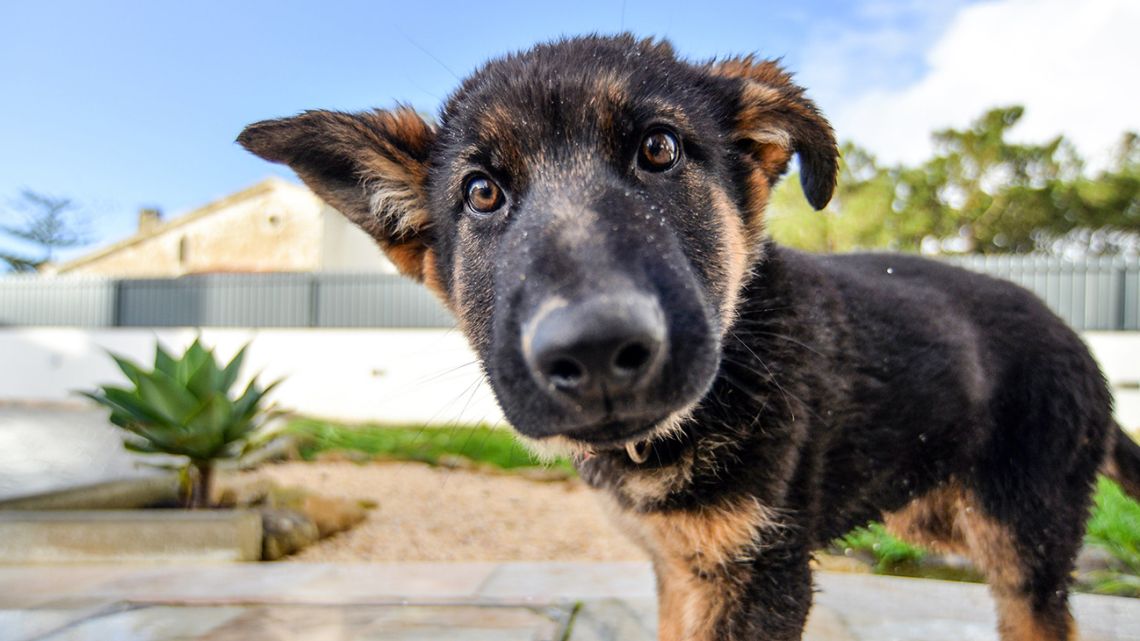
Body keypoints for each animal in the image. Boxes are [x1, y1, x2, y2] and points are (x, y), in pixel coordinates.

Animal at [240, 33, 1140, 638]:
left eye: (660, 148)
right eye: (482, 192)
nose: (596, 352)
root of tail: (1079, 342)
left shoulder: (762, 575)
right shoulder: (679, 566)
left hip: (1022, 539)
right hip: (935, 510)